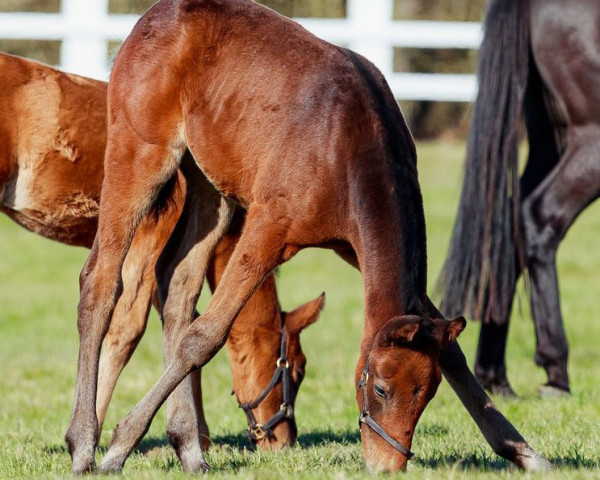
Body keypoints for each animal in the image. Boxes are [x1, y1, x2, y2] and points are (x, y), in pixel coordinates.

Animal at [0, 51, 324, 458]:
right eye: (296, 369)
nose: (284, 440)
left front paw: (195, 435)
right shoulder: (147, 244)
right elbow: (126, 331)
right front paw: (94, 434)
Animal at [64, 0, 548, 472]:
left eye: (427, 393)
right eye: (382, 388)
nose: (387, 466)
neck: (345, 143)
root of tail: (153, 15)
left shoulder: (354, 248)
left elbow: (453, 354)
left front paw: (524, 452)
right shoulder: (267, 229)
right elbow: (206, 336)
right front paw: (119, 445)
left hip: (210, 188)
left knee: (177, 290)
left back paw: (189, 450)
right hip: (140, 155)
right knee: (100, 281)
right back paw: (84, 444)